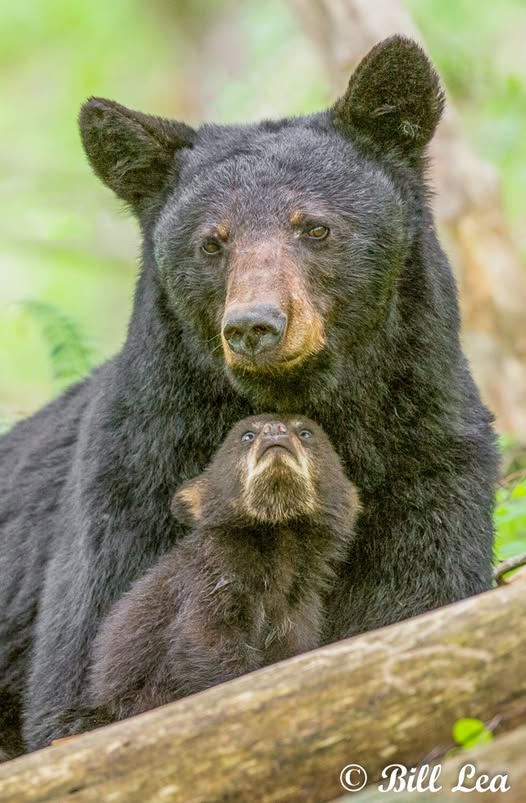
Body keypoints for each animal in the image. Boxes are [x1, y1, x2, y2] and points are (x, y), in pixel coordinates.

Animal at [0, 36, 498, 754]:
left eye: (314, 227)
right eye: (212, 241)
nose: (254, 324)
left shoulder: (428, 459)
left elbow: (420, 597)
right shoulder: (135, 474)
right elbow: (86, 675)